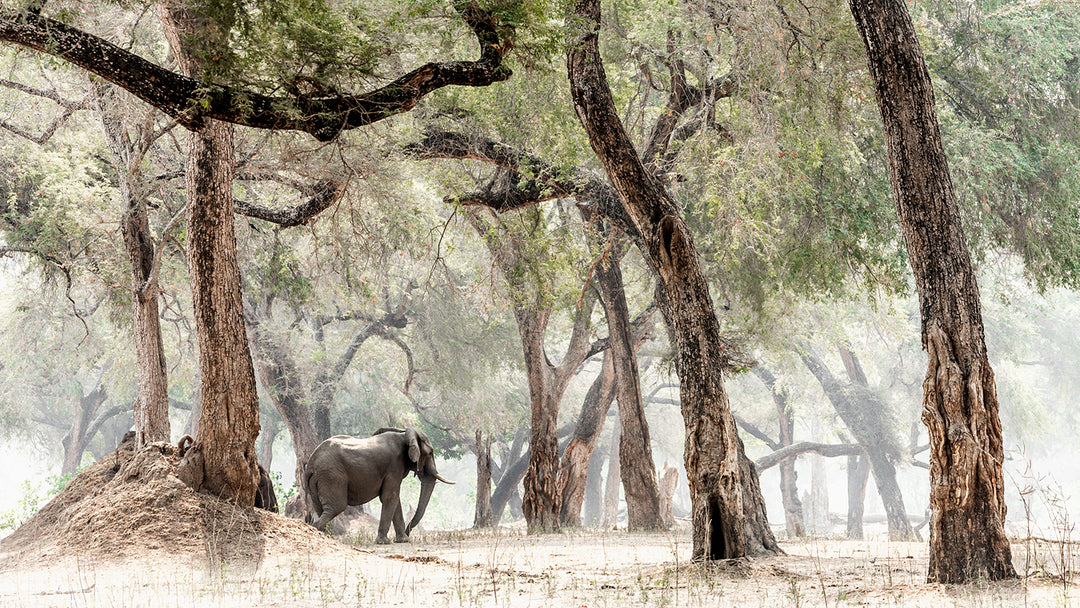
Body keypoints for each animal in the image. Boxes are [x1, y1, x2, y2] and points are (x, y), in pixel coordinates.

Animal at [302, 427, 453, 543]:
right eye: (430, 453)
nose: (408, 532)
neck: (404, 434)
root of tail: (311, 464)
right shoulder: (394, 466)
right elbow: (390, 497)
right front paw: (385, 542)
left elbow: (395, 499)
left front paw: (402, 540)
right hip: (331, 476)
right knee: (336, 507)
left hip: (318, 480)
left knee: (320, 508)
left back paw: (326, 536)